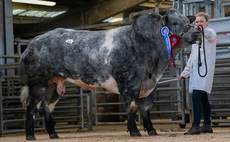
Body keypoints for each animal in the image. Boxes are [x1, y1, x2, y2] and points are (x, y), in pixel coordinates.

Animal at [19, 8, 199, 140]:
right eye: (175, 22)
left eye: (188, 21)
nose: (197, 33)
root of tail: (33, 43)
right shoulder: (129, 84)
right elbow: (132, 108)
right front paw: (134, 131)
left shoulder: (150, 86)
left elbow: (146, 109)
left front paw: (151, 130)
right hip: (37, 83)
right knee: (32, 107)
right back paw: (30, 135)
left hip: (54, 84)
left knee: (48, 107)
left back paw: (53, 134)